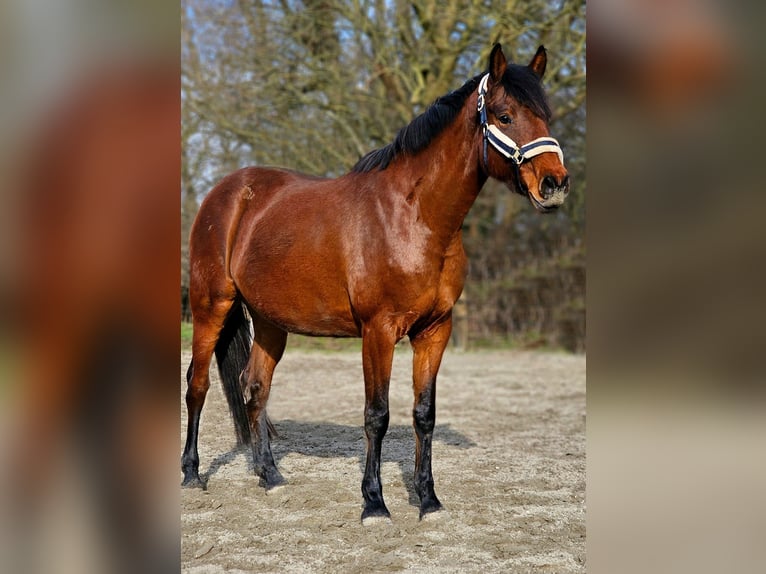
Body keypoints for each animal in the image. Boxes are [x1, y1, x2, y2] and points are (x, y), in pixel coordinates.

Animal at [183, 42, 568, 524]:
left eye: (545, 115)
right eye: (504, 115)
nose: (555, 184)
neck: (414, 217)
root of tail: (226, 192)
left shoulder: (435, 331)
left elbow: (424, 414)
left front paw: (428, 500)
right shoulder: (378, 331)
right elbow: (377, 415)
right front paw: (375, 504)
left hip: (270, 321)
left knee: (254, 387)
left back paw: (269, 476)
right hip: (209, 307)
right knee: (197, 385)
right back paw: (191, 475)